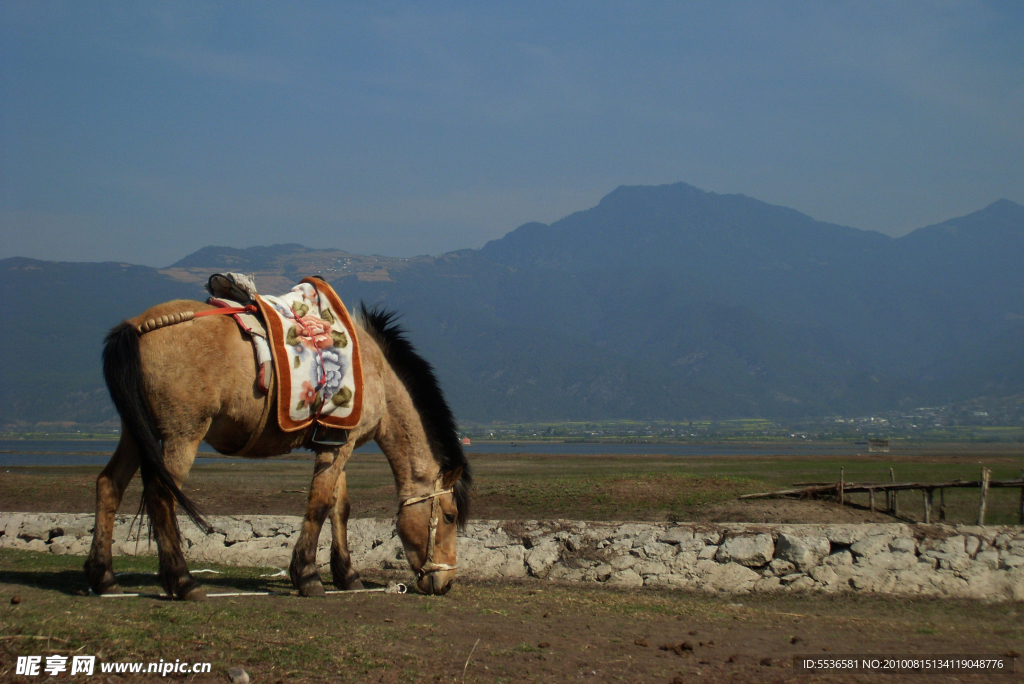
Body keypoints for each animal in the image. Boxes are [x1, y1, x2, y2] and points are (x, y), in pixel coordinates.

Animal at [83, 294, 471, 597]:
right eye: (450, 516)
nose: (446, 583)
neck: (373, 372)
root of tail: (135, 327)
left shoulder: (335, 441)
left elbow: (339, 507)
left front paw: (347, 575)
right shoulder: (339, 446)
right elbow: (318, 505)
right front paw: (308, 576)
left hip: (136, 432)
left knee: (109, 485)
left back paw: (103, 577)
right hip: (183, 433)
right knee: (161, 493)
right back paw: (182, 581)